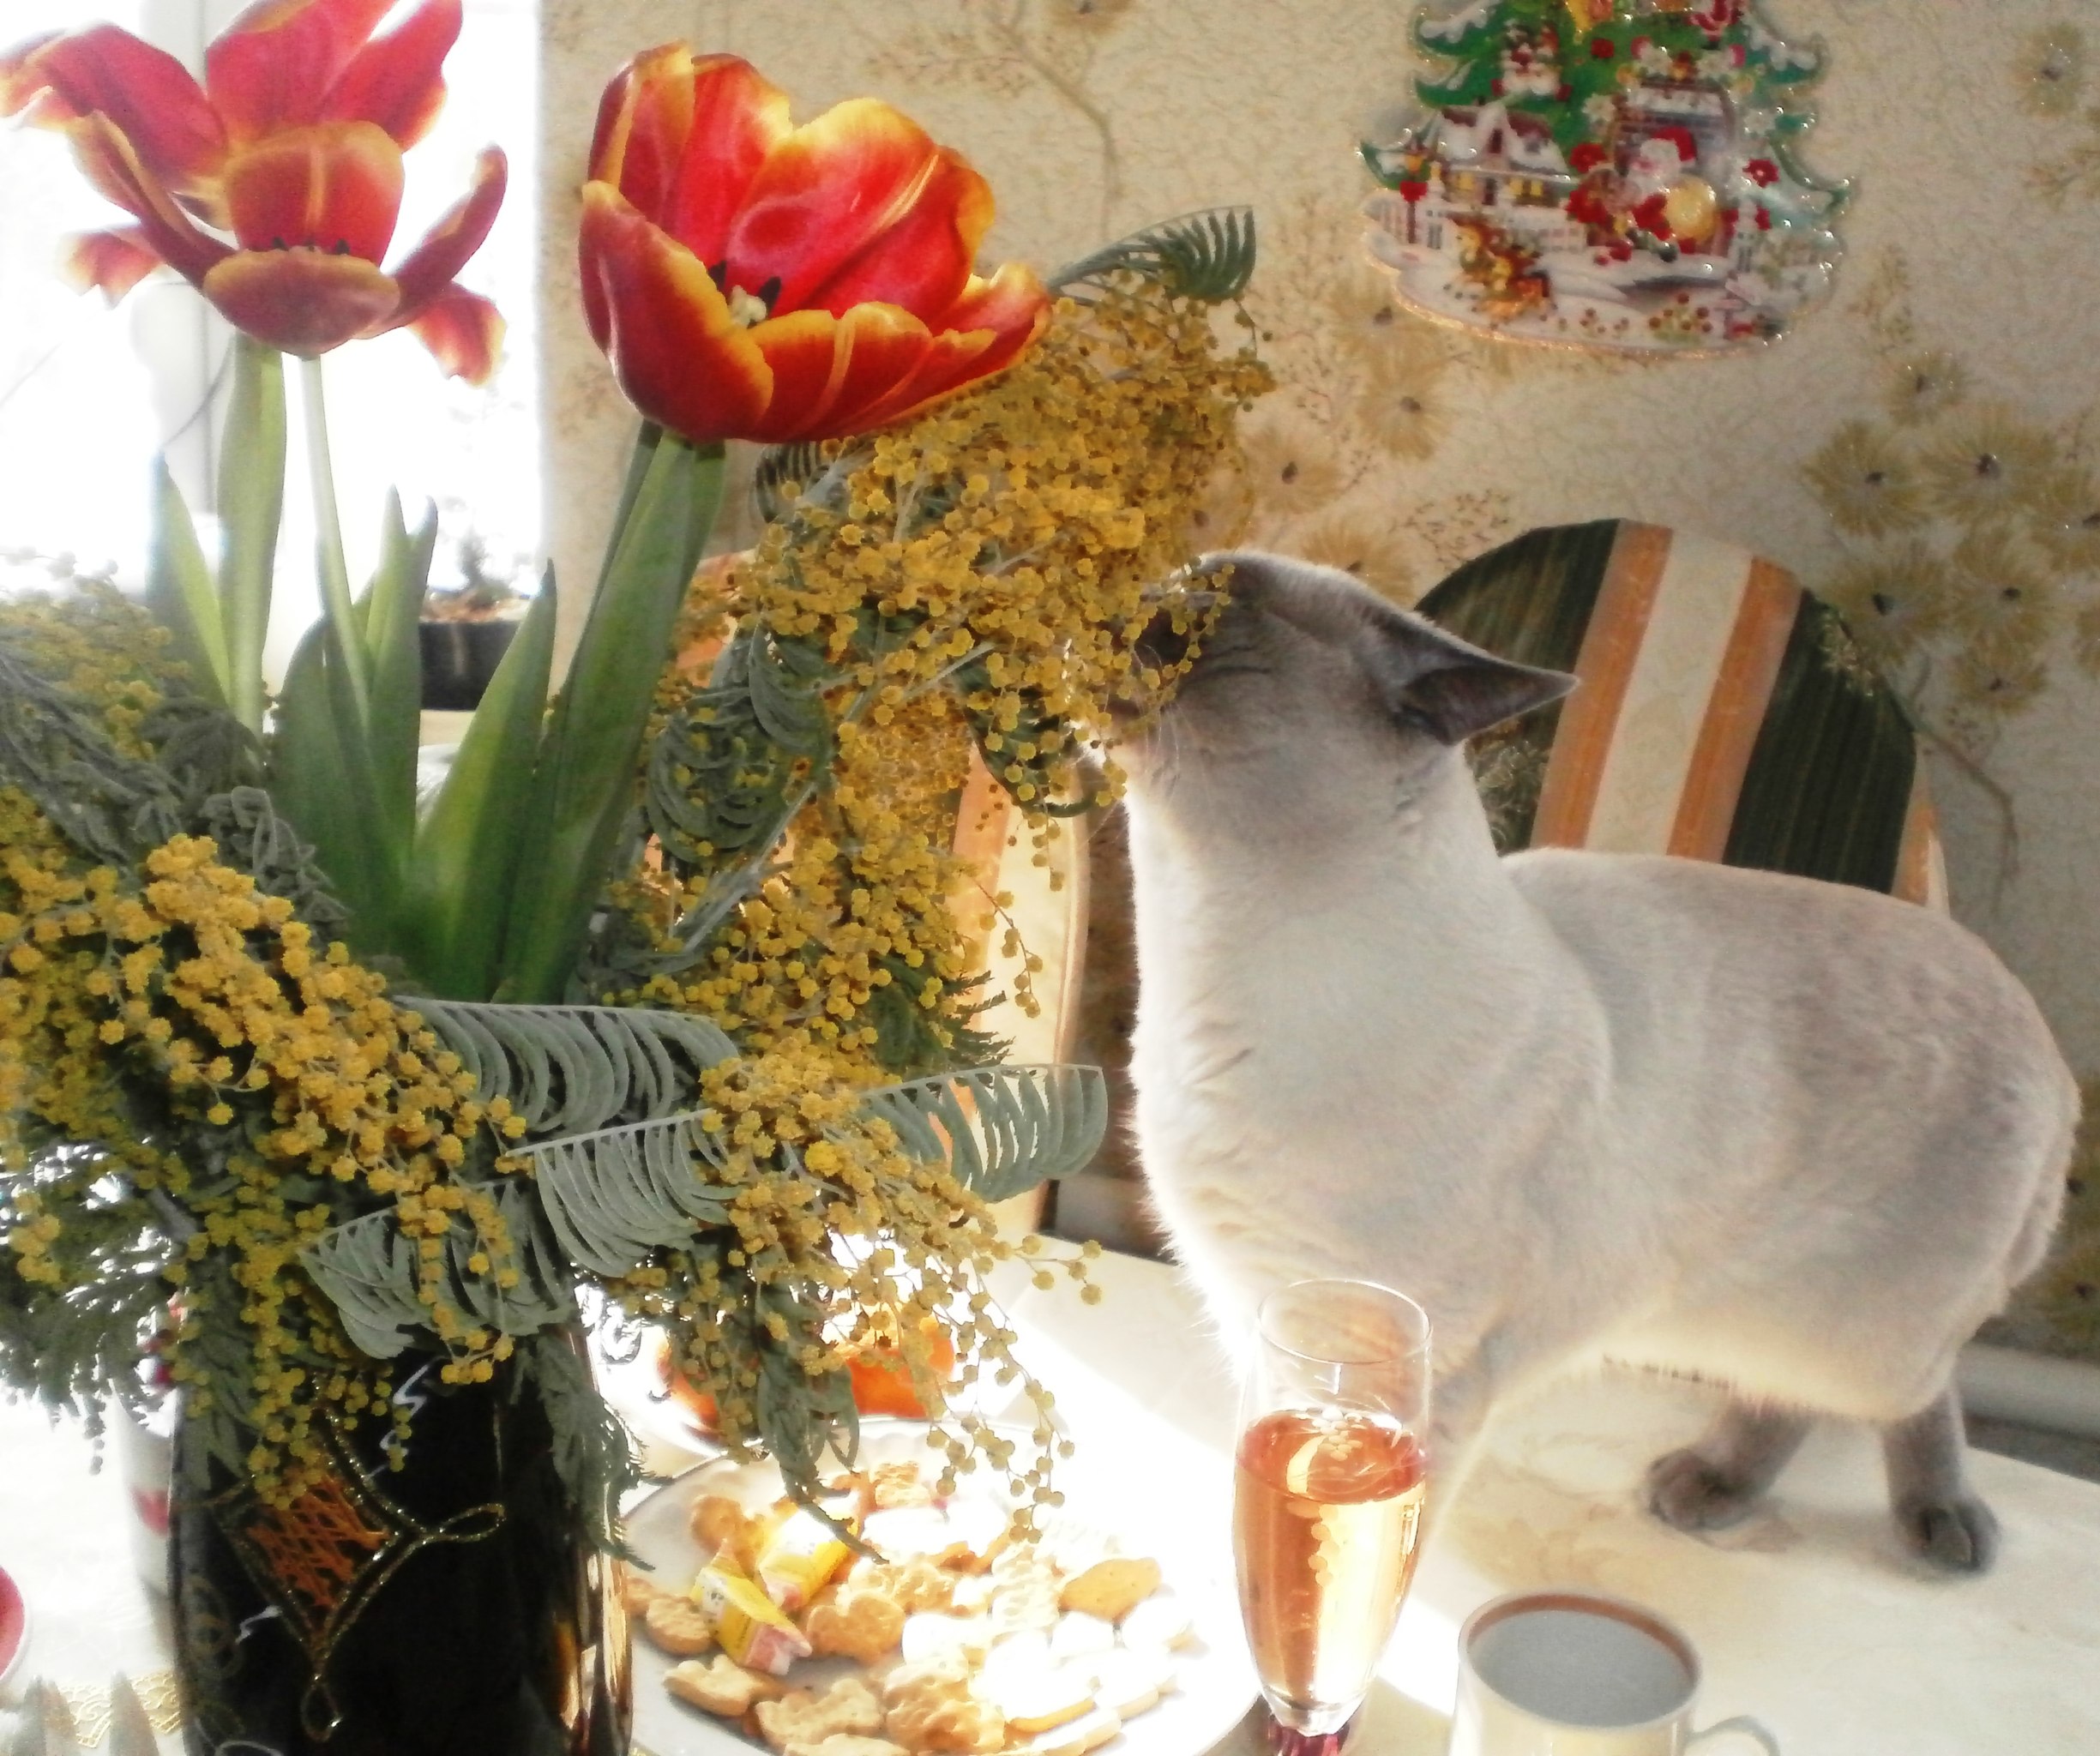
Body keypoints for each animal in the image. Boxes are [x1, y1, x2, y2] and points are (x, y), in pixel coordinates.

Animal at [1115, 550, 2074, 1573]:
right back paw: (1710, 1486)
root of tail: (2048, 1047)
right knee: (1788, 1398)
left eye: (1221, 606)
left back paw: (1938, 1519)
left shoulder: (1398, 1354)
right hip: (1738, 1328)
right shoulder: (1250, 1306)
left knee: (1918, 1393)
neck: (1199, 965)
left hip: (1863, 1345)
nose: (1145, 592)